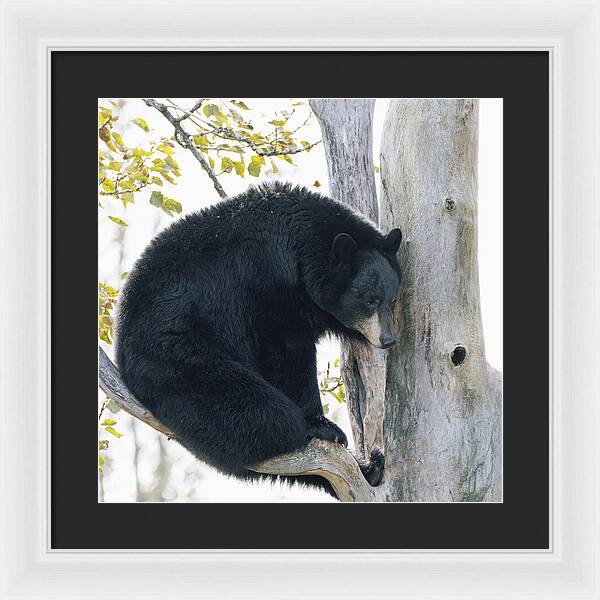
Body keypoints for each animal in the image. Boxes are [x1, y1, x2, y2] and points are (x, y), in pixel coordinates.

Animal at [115, 180, 400, 494]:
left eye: (392, 300)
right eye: (370, 301)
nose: (388, 339)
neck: (300, 248)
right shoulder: (267, 281)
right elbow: (285, 350)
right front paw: (320, 422)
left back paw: (370, 468)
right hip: (179, 356)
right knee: (261, 412)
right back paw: (305, 429)